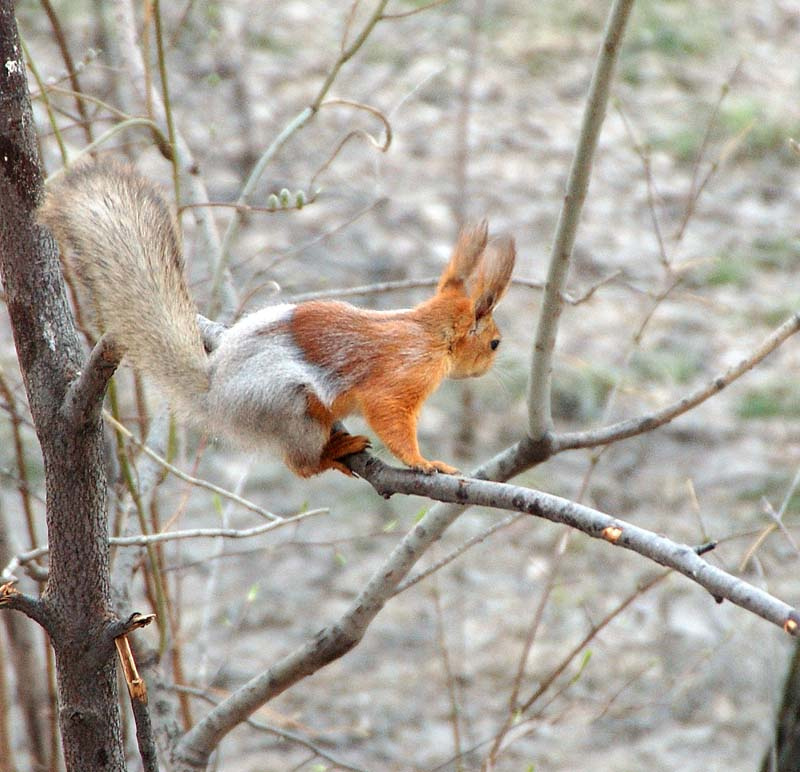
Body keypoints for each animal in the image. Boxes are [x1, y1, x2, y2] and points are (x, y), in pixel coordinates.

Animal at [40, 161, 516, 477]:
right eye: (494, 342)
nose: (493, 366)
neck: (427, 331)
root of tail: (216, 398)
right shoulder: (403, 375)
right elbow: (391, 419)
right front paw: (425, 462)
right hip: (288, 408)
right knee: (301, 465)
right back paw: (334, 452)